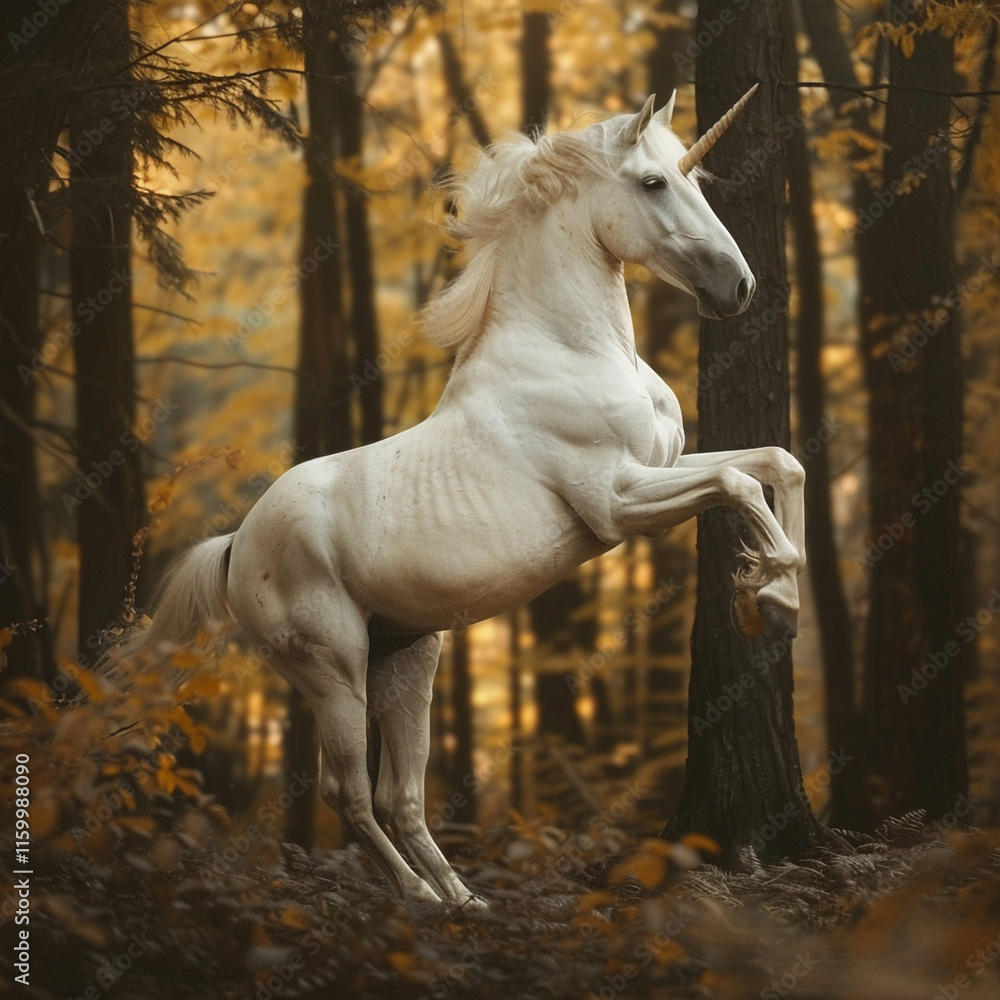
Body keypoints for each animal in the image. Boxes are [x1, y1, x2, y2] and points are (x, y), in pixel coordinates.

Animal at [119, 87, 806, 909]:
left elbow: (777, 463)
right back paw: (418, 898)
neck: (571, 350)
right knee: (349, 794)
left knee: (400, 796)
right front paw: (770, 596)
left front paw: (769, 592)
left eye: (692, 177)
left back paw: (461, 901)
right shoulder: (617, 504)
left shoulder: (664, 466)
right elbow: (738, 483)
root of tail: (235, 544)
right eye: (651, 182)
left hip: (407, 660)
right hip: (334, 669)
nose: (739, 288)